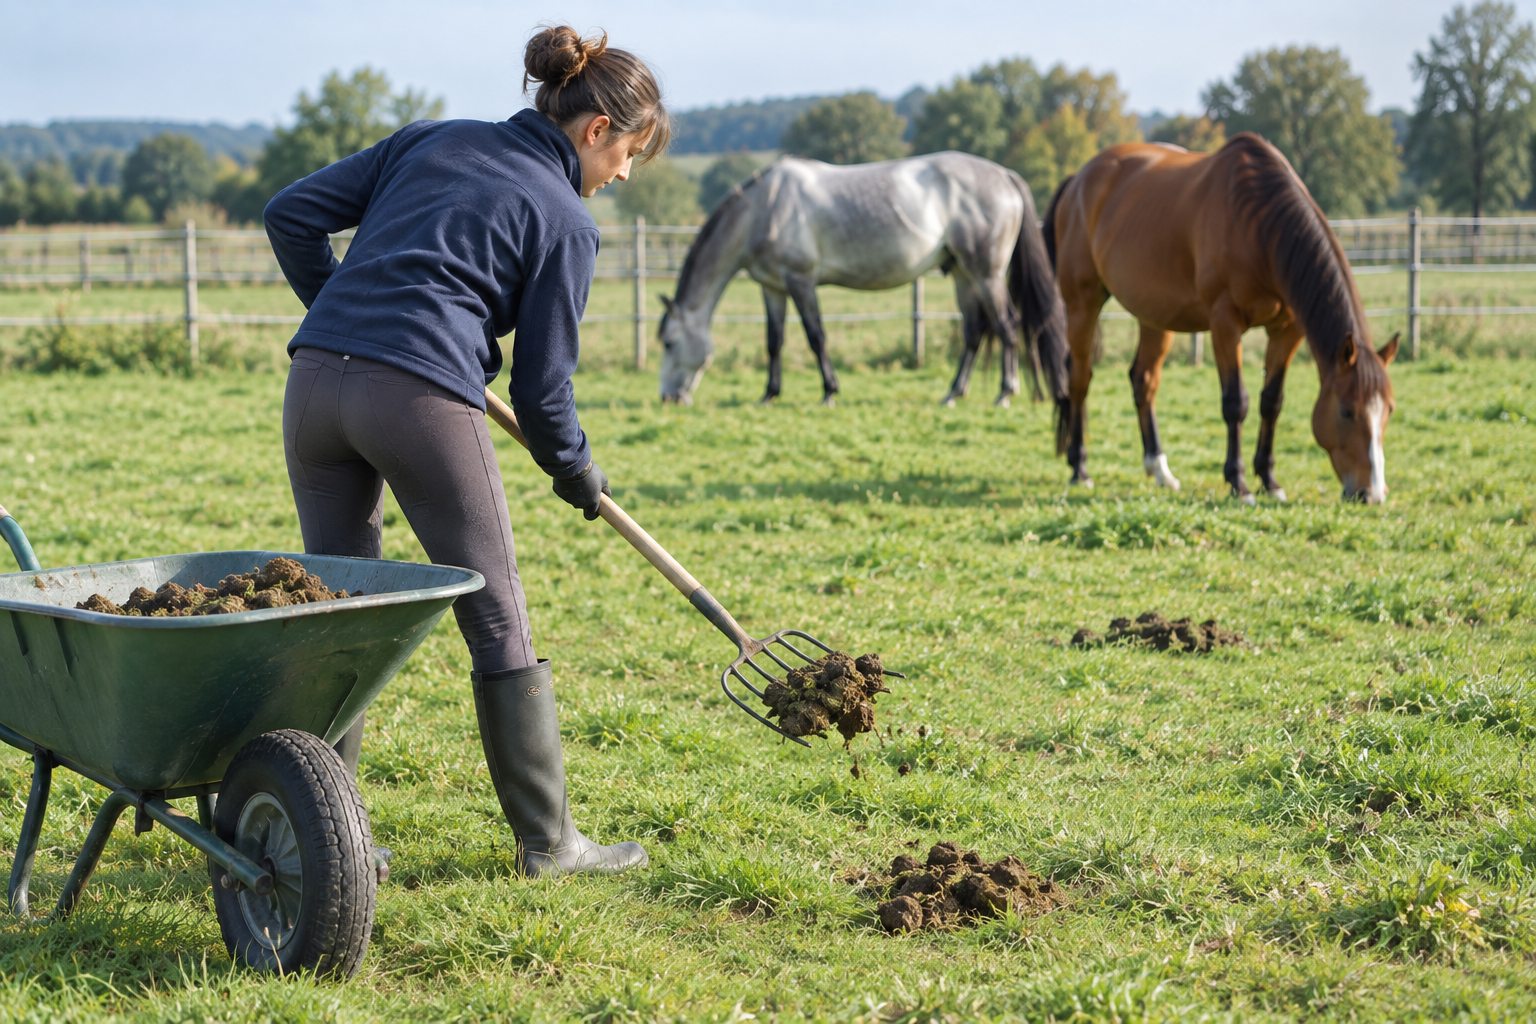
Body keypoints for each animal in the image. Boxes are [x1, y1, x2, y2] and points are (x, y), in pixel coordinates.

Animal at [657, 152, 1069, 410]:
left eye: (669, 342)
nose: (668, 398)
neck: (765, 208)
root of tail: (1005, 176)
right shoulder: (772, 287)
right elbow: (774, 342)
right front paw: (769, 395)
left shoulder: (801, 282)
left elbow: (816, 337)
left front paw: (829, 393)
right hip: (963, 275)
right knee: (974, 332)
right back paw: (953, 394)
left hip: (987, 274)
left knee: (1007, 326)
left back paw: (1005, 393)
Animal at [1042, 133, 1399, 504]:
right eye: (1346, 411)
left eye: (1389, 409)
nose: (1373, 493)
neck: (1258, 224)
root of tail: (1079, 180)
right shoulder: (1225, 324)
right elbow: (1235, 402)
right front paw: (1238, 483)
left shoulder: (1287, 330)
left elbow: (1272, 402)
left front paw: (1269, 480)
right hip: (1082, 303)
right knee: (1080, 379)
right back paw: (1079, 468)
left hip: (1154, 314)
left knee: (1143, 380)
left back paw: (1160, 470)